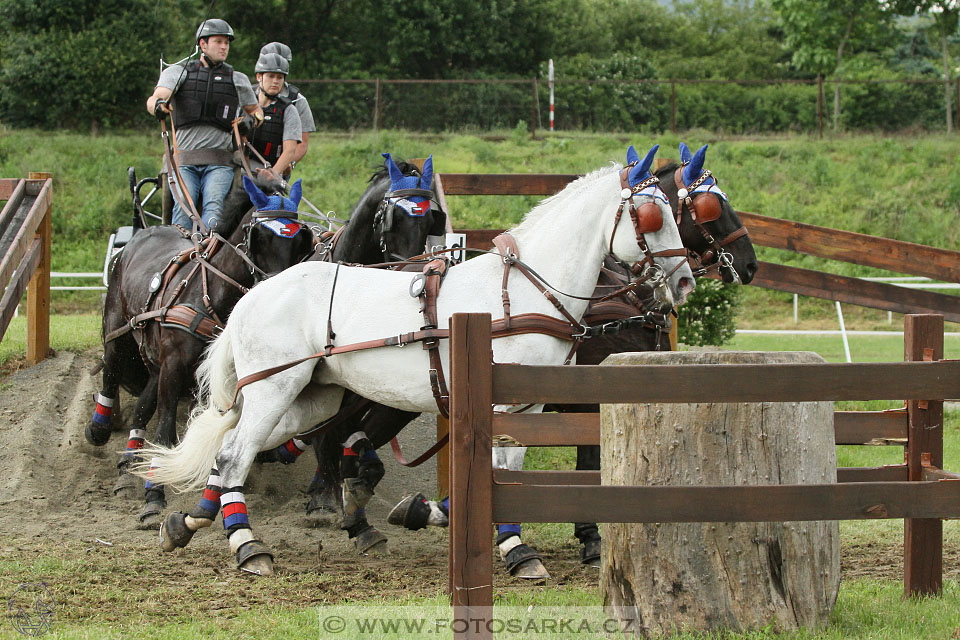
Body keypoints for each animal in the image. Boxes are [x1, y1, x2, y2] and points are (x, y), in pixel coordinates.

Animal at [86, 174, 316, 524]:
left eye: (301, 239)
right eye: (259, 236)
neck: (212, 296)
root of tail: (144, 233)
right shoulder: (174, 367)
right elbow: (166, 431)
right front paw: (154, 495)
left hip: (157, 361)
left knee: (142, 406)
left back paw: (130, 461)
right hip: (119, 331)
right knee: (111, 373)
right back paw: (99, 428)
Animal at [135, 150, 692, 576]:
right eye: (651, 216)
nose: (685, 280)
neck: (524, 291)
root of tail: (253, 295)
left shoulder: (528, 406)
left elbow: (506, 471)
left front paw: (499, 541)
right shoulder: (502, 405)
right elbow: (499, 472)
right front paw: (514, 548)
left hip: (313, 399)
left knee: (232, 449)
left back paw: (185, 525)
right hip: (275, 390)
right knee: (235, 456)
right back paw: (247, 545)